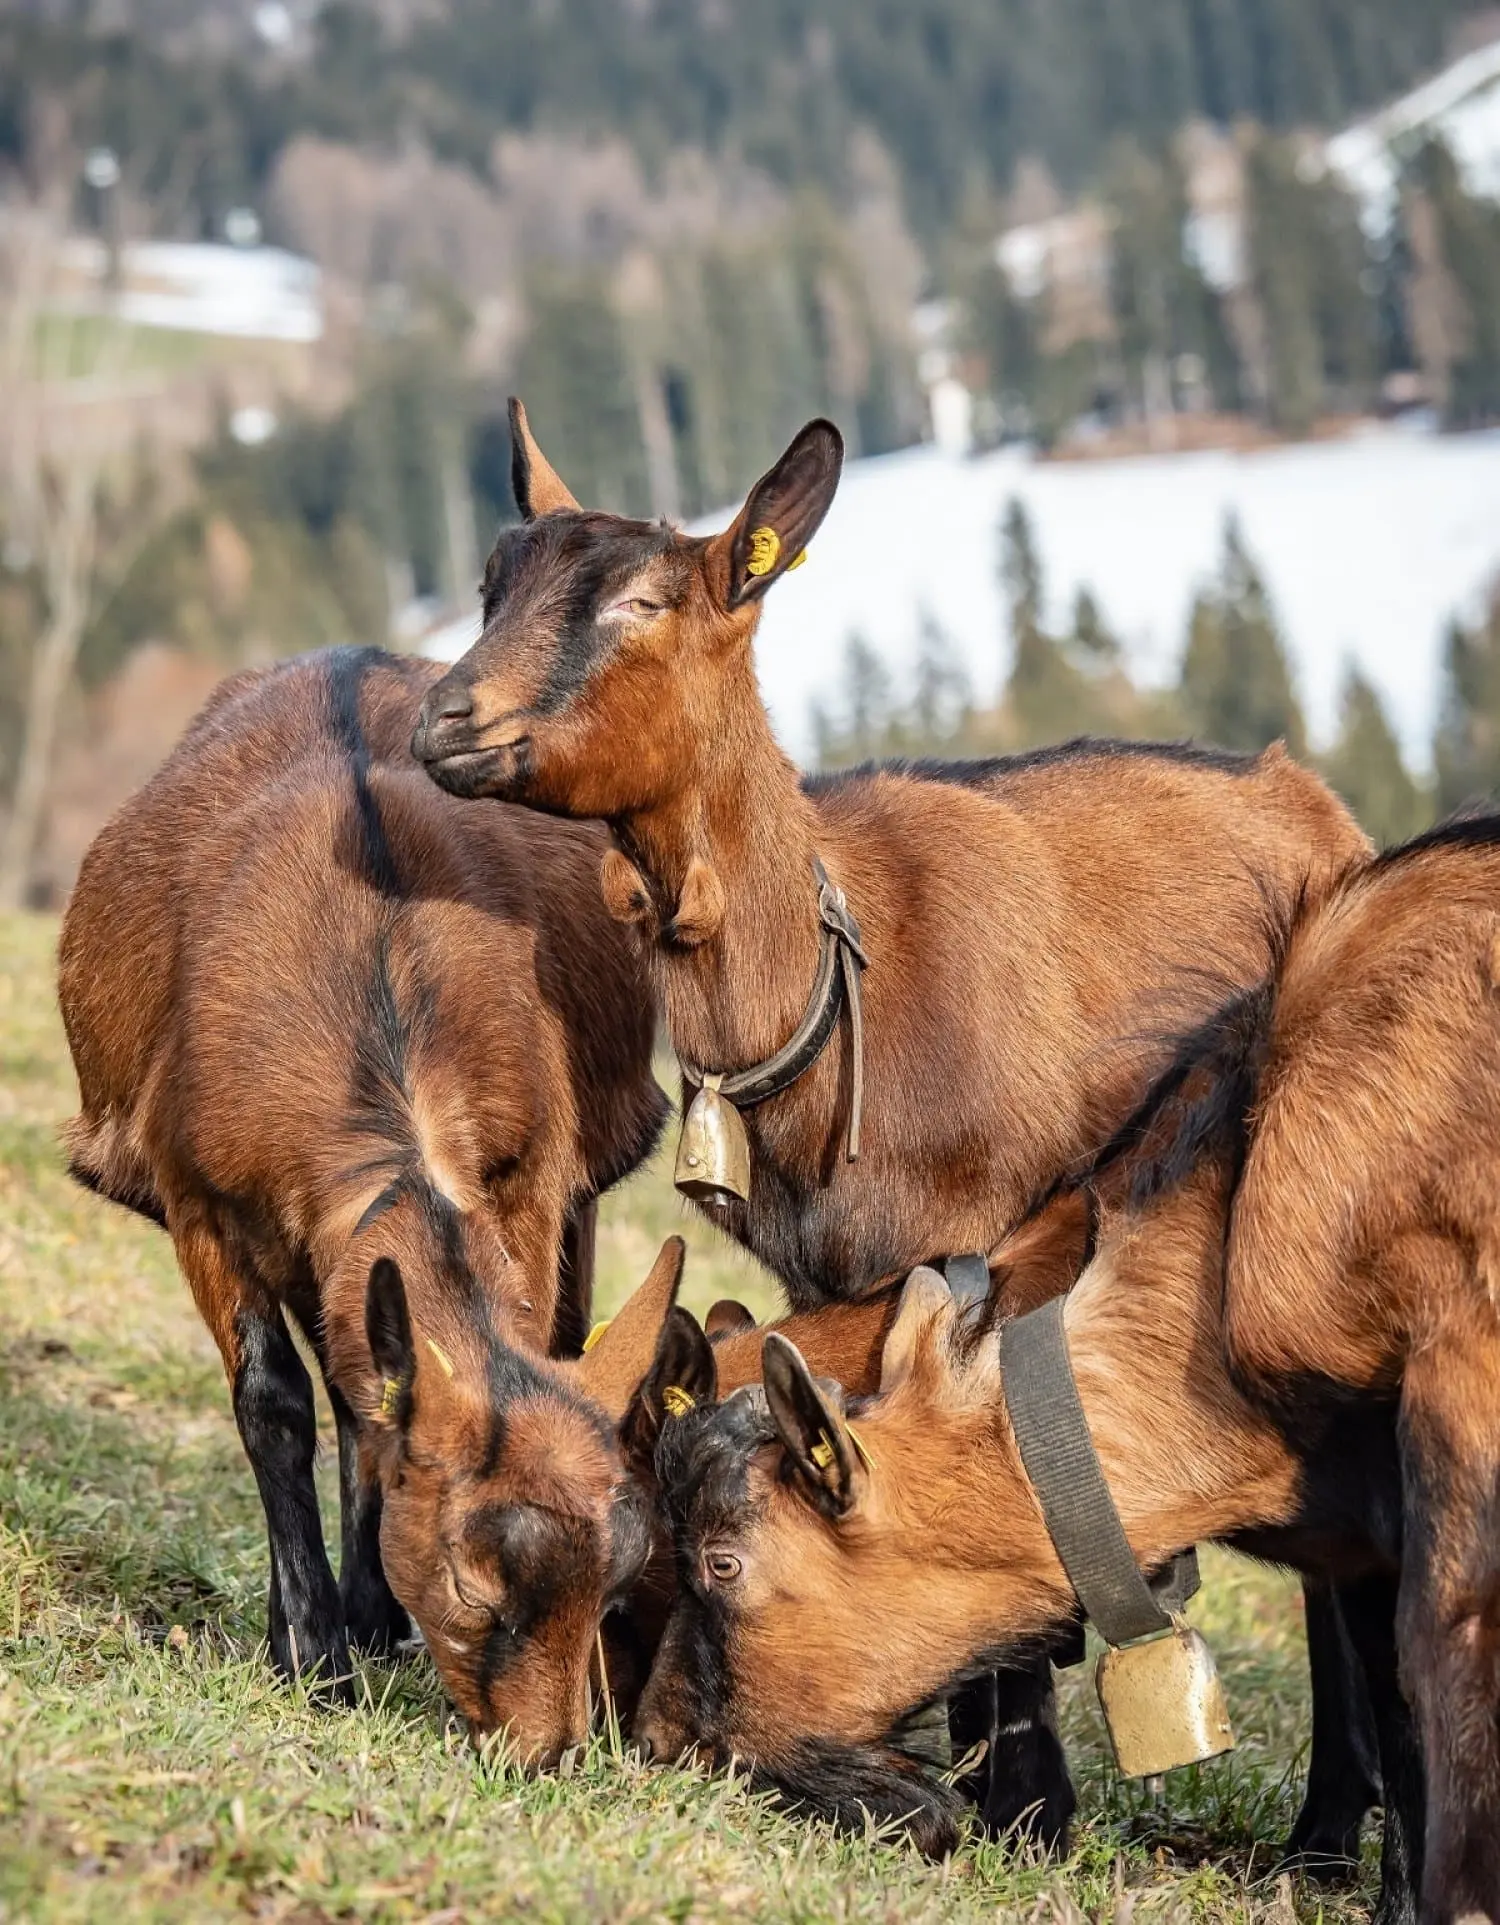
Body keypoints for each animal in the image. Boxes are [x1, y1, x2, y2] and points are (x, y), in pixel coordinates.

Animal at [59, 646, 670, 1761]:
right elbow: (275, 1402)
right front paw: (309, 1650)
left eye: (616, 1582)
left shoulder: (529, 1177)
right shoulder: (202, 1203)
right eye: (476, 1588)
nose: (550, 1752)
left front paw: (352, 1623)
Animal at [409, 400, 1378, 1857]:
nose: (445, 716)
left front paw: (1024, 1804)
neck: (833, 966)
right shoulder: (830, 1268)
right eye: (489, 584)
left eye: (643, 599)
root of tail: (1311, 802)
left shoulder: (987, 1238)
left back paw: (1327, 1824)